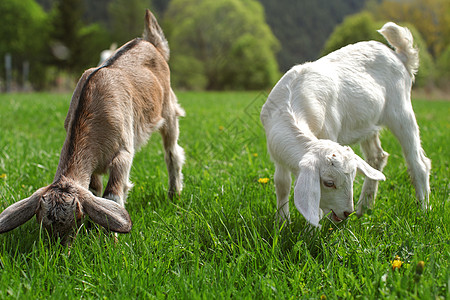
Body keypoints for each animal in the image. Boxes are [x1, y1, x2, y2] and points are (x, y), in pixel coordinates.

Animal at [0, 9, 185, 241]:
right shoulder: (93, 164)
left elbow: (113, 193)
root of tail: (150, 42)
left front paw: (111, 239)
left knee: (172, 152)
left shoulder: (123, 152)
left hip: (168, 110)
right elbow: (95, 188)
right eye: (41, 222)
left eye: (77, 215)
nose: (60, 246)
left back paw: (174, 194)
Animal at [260, 22, 432, 226]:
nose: (346, 213)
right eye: (328, 182)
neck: (291, 103)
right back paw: (364, 207)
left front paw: (314, 228)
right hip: (368, 123)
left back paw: (423, 209)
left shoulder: (329, 131)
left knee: (419, 162)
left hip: (401, 110)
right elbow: (282, 184)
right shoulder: (277, 153)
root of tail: (400, 56)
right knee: (377, 157)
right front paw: (281, 222)